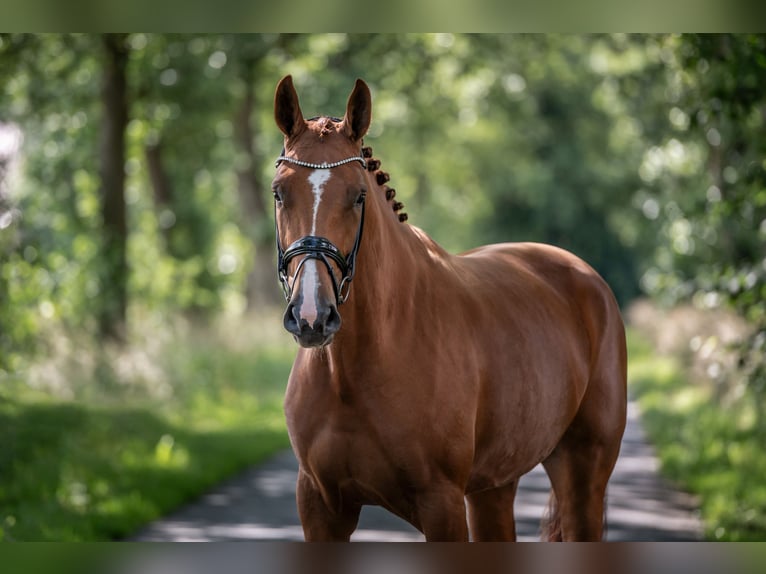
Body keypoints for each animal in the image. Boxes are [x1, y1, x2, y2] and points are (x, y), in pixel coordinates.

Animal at [271, 75, 627, 541]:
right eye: (280, 193)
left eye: (358, 196)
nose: (312, 316)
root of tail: (585, 275)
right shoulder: (320, 507)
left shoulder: (441, 506)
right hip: (494, 486)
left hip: (582, 472)